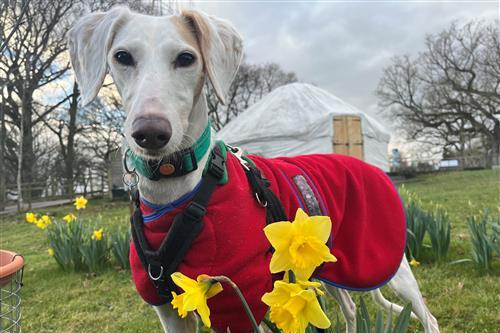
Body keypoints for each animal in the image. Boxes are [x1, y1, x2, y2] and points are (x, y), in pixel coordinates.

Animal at [68, 6, 440, 330]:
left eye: (186, 58)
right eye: (122, 57)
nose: (150, 133)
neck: (181, 192)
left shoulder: (242, 300)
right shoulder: (171, 310)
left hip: (389, 265)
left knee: (427, 316)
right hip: (326, 265)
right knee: (349, 307)